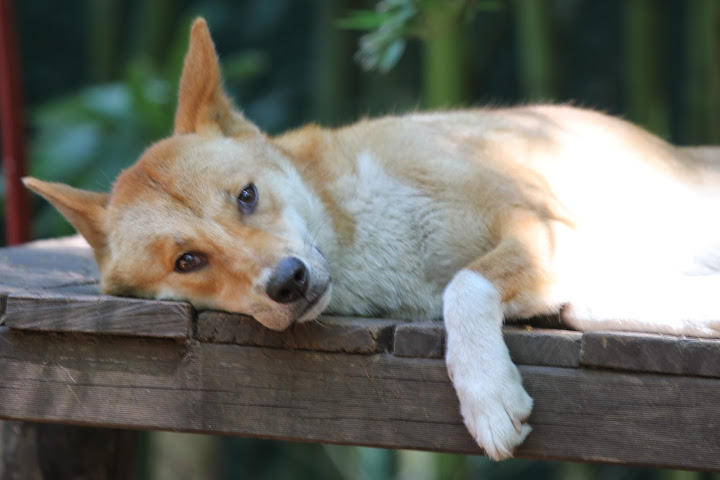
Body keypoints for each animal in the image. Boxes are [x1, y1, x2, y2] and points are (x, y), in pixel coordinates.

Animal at [22, 19, 720, 462]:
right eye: (188, 260)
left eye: (246, 196)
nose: (289, 281)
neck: (367, 236)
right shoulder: (575, 266)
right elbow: (585, 304)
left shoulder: (541, 225)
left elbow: (466, 285)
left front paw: (486, 395)